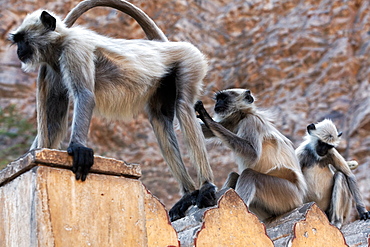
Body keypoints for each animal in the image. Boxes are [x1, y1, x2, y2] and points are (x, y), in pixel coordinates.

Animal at [7, 0, 217, 221]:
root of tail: (168, 46)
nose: (19, 51)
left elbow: (85, 95)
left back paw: (206, 187)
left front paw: (78, 148)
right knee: (160, 119)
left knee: (183, 107)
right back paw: (189, 194)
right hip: (165, 81)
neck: (60, 42)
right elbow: (54, 123)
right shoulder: (52, 67)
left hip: (190, 60)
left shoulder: (74, 49)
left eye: (23, 40)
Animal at [194, 89, 306, 220]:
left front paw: (207, 119)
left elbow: (252, 153)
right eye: (218, 99)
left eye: (223, 98)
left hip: (286, 194)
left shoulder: (251, 121)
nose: (217, 104)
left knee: (249, 175)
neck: (243, 115)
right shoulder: (232, 123)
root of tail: (299, 198)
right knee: (234, 175)